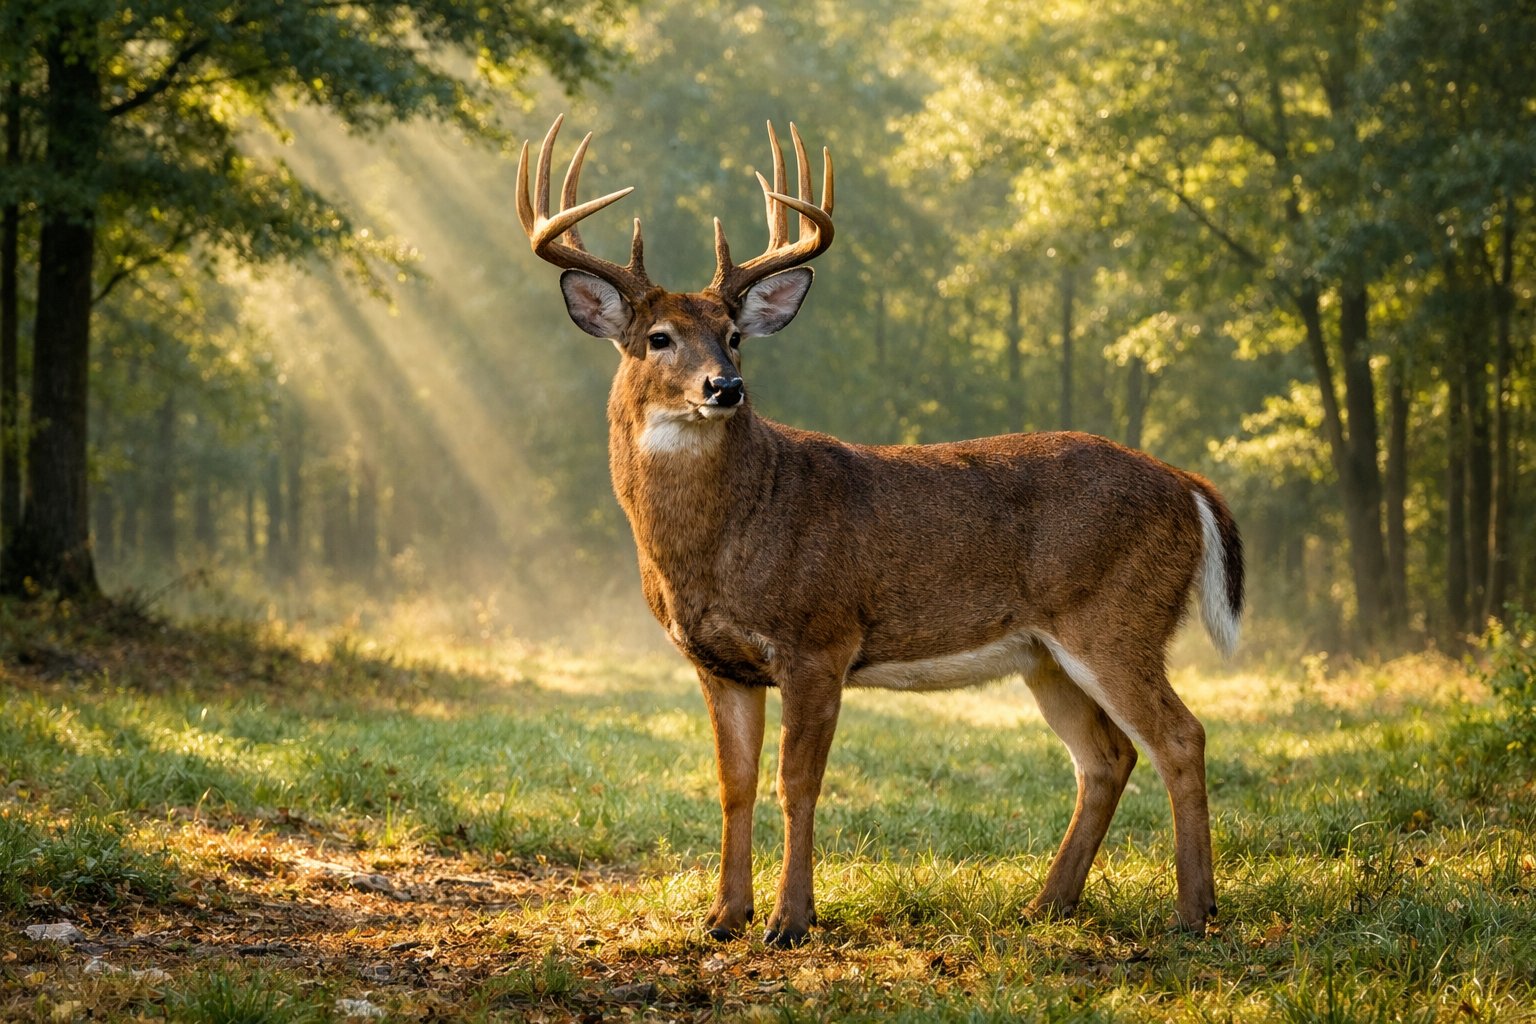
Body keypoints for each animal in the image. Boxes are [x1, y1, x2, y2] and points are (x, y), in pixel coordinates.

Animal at [515, 115, 1244, 948]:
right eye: (659, 337)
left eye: (735, 334)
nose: (725, 388)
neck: (721, 541)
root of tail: (1188, 485)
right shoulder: (719, 662)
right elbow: (734, 784)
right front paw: (724, 916)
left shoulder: (819, 638)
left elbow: (797, 783)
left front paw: (790, 920)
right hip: (1046, 652)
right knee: (1107, 755)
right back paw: (1047, 903)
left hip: (1118, 618)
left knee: (1180, 737)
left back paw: (1195, 911)